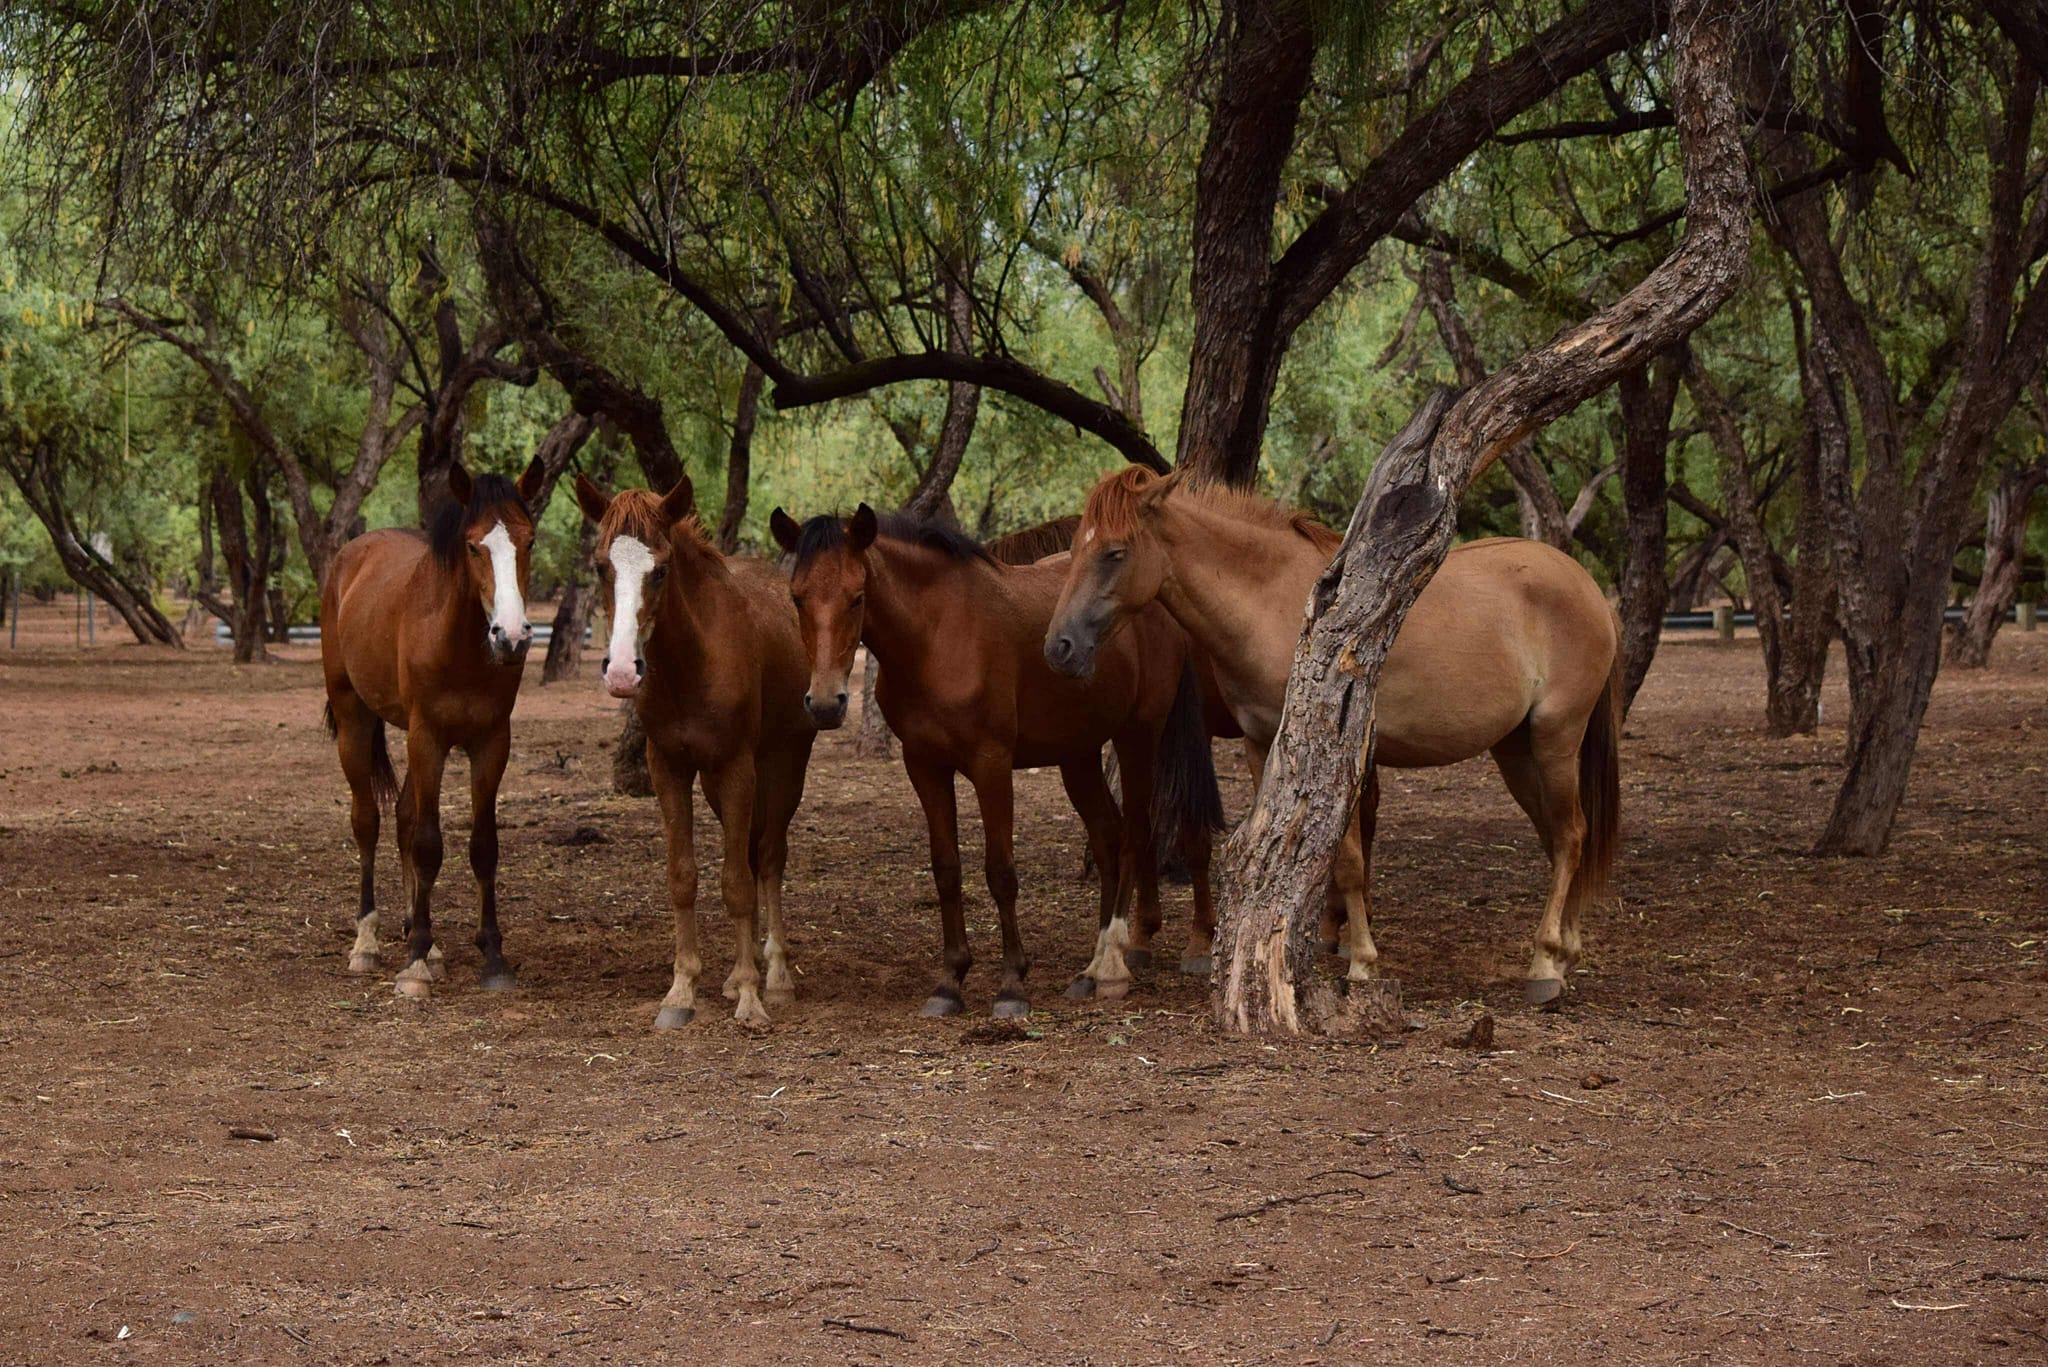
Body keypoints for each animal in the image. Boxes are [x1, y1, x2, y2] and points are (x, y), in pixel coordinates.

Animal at [321, 454, 548, 1000]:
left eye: (529, 541)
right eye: (473, 545)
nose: (511, 636)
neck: (459, 644)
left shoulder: (491, 741)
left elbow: (482, 846)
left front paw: (492, 956)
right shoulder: (428, 737)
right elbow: (427, 843)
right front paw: (415, 964)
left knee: (403, 816)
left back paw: (423, 936)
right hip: (356, 720)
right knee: (368, 821)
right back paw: (369, 943)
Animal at [577, 475, 815, 1032]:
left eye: (661, 569)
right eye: (600, 566)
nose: (623, 672)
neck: (692, 663)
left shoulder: (737, 768)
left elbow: (737, 884)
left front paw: (751, 996)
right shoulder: (671, 768)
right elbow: (683, 876)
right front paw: (683, 988)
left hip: (784, 766)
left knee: (768, 859)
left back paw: (775, 975)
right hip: (715, 783)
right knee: (750, 852)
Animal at [765, 502, 1212, 1016]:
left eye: (857, 598)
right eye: (797, 599)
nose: (825, 704)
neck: (937, 636)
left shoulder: (991, 764)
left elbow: (1000, 872)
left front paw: (1012, 984)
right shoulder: (925, 767)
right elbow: (946, 869)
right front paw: (949, 981)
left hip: (1137, 737)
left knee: (1136, 836)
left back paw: (1115, 966)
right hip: (1078, 755)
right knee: (1108, 838)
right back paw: (1091, 967)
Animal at [1048, 471, 1622, 1004]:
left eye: (1114, 553)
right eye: (1075, 550)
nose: (1059, 647)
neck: (1277, 605)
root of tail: (1586, 585)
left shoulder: (1333, 753)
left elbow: (1346, 863)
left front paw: (1362, 963)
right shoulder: (1261, 747)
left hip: (1555, 739)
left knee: (1570, 836)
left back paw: (1545, 964)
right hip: (1516, 751)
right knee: (1560, 836)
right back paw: (1566, 951)